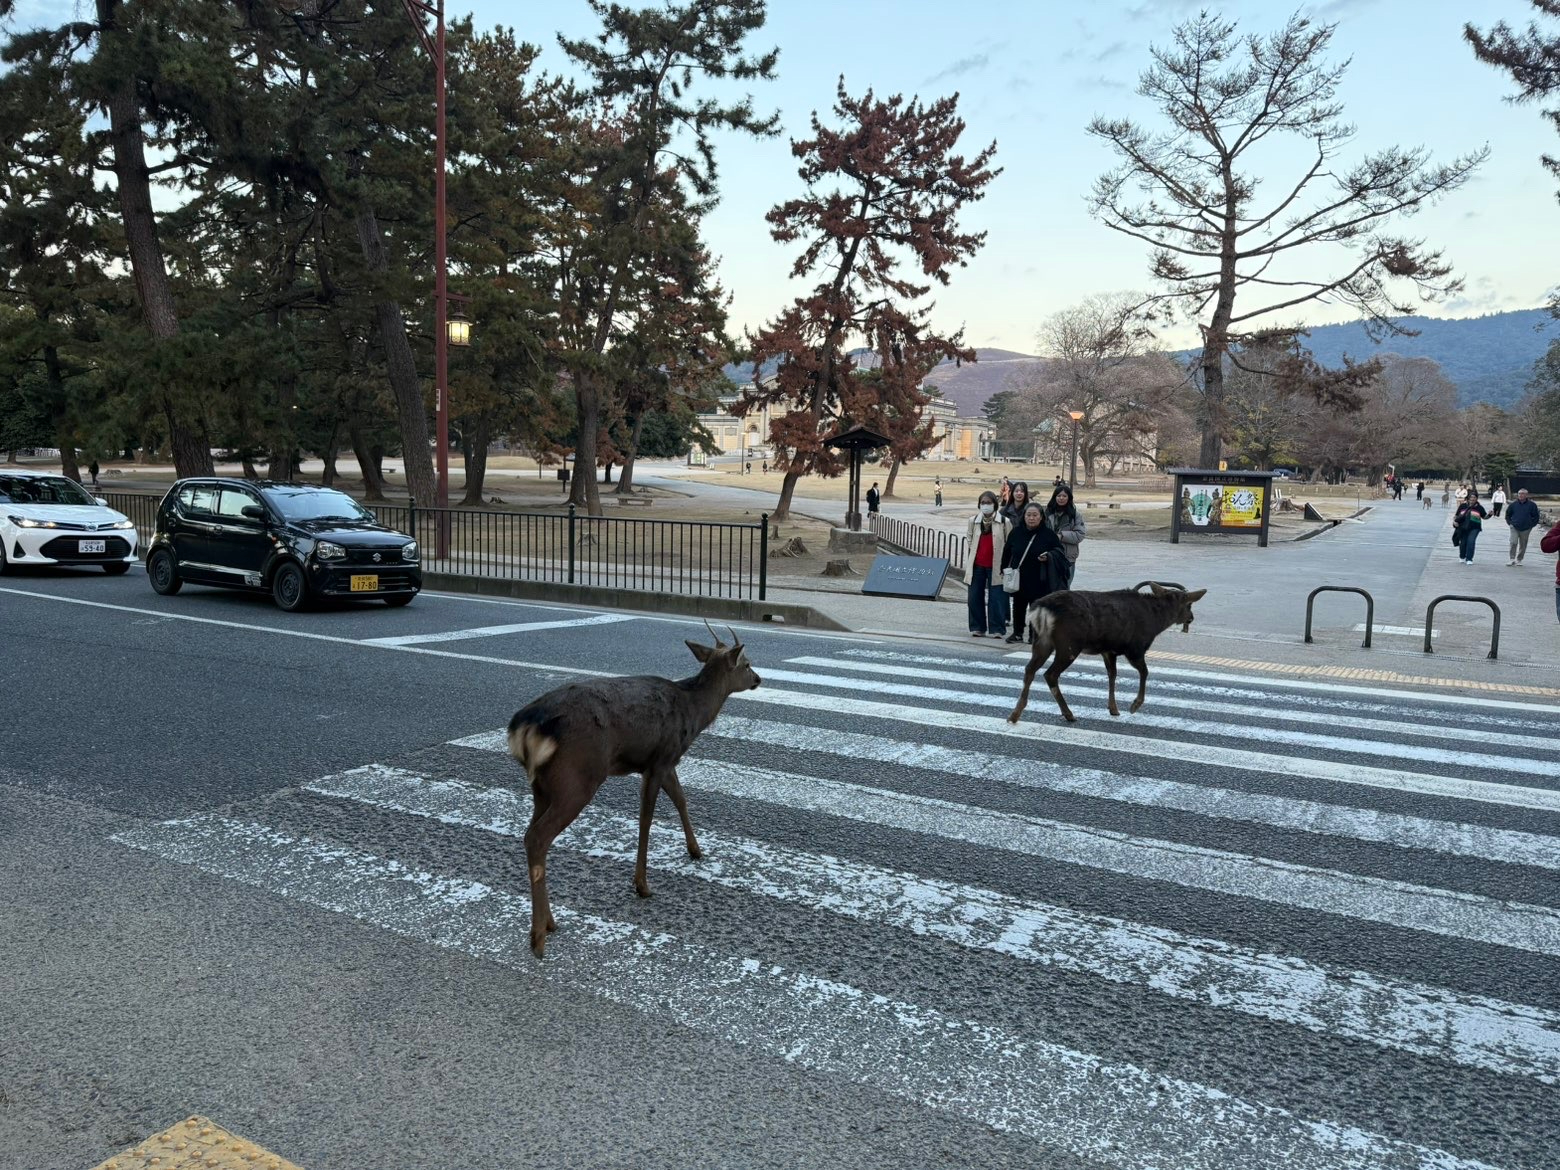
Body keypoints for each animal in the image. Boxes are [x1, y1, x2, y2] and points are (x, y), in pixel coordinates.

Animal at [506, 621, 761, 958]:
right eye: (746, 664)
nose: (758, 679)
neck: (692, 713)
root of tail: (525, 726)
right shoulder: (661, 759)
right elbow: (646, 819)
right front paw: (642, 884)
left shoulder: (665, 760)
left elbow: (681, 799)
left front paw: (695, 850)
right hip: (576, 778)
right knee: (538, 837)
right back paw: (538, 937)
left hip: (541, 786)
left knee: (529, 835)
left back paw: (549, 922)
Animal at [1007, 584, 1207, 725]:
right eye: (1189, 604)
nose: (1191, 618)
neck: (1155, 622)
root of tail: (1040, 609)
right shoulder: (1135, 648)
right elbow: (1144, 672)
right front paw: (1134, 705)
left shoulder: (1108, 650)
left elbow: (1112, 675)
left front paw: (1113, 708)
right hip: (1069, 644)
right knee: (1050, 674)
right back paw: (1068, 714)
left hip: (1042, 641)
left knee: (1029, 669)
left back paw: (1015, 714)